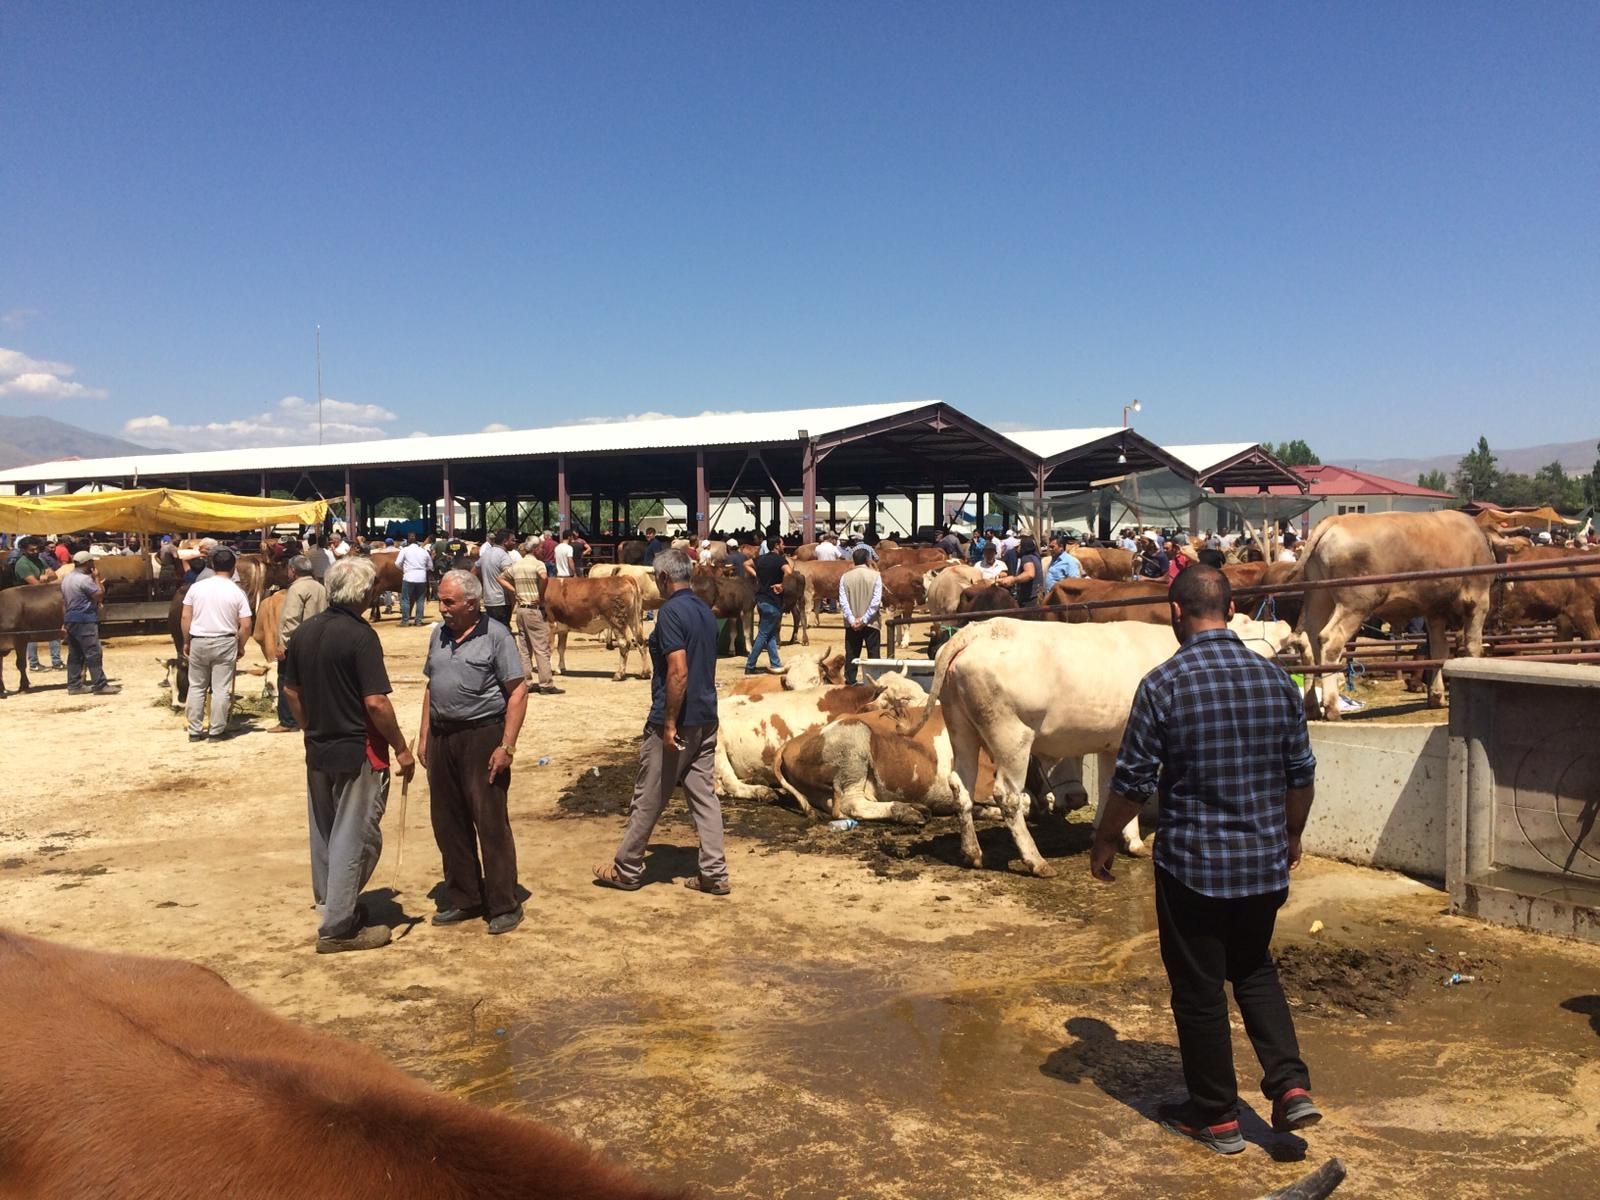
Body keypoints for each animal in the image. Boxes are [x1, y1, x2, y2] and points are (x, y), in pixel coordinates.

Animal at [908, 614, 1292, 876]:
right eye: (1245, 619)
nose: (1285, 622)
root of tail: (978, 630)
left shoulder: (1115, 742)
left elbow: (1111, 787)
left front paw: (1110, 836)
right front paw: (1134, 843)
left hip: (961, 726)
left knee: (961, 785)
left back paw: (972, 854)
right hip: (1011, 734)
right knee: (1008, 794)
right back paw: (1036, 861)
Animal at [1292, 508, 1491, 720]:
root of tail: (1334, 520)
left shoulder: (1434, 611)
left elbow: (1439, 651)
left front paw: (1436, 697)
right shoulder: (1479, 602)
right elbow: (1472, 646)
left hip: (1319, 598)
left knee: (1309, 642)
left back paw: (1312, 707)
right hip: (1354, 605)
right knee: (1330, 641)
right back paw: (1332, 708)